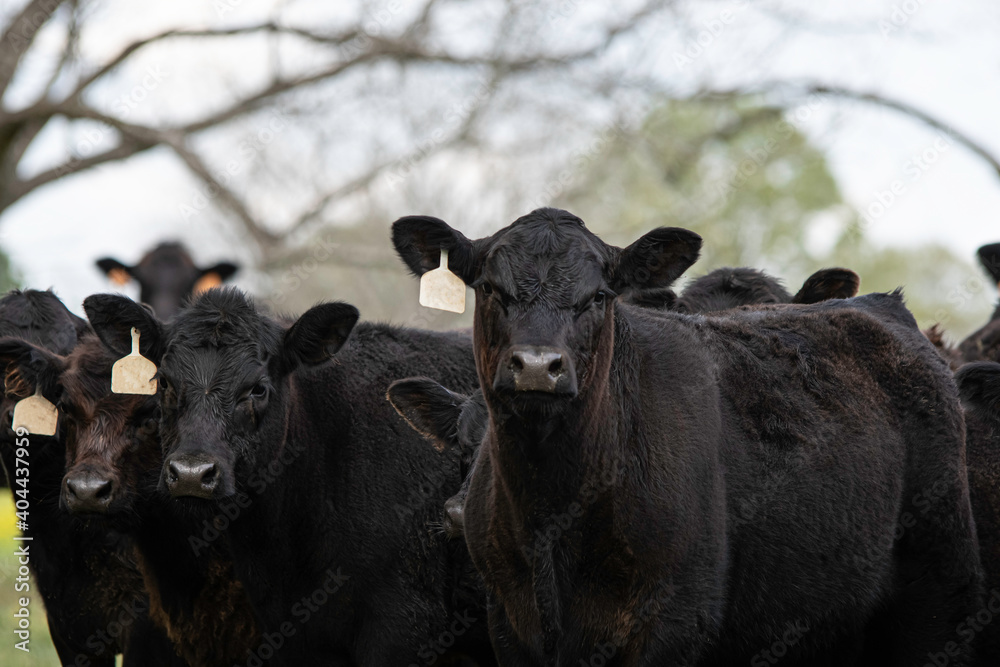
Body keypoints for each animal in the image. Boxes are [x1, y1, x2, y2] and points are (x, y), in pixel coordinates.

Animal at [392, 209, 984, 667]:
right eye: (490, 289)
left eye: (600, 296)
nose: (537, 366)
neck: (552, 515)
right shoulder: (509, 623)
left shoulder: (678, 620)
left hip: (940, 595)